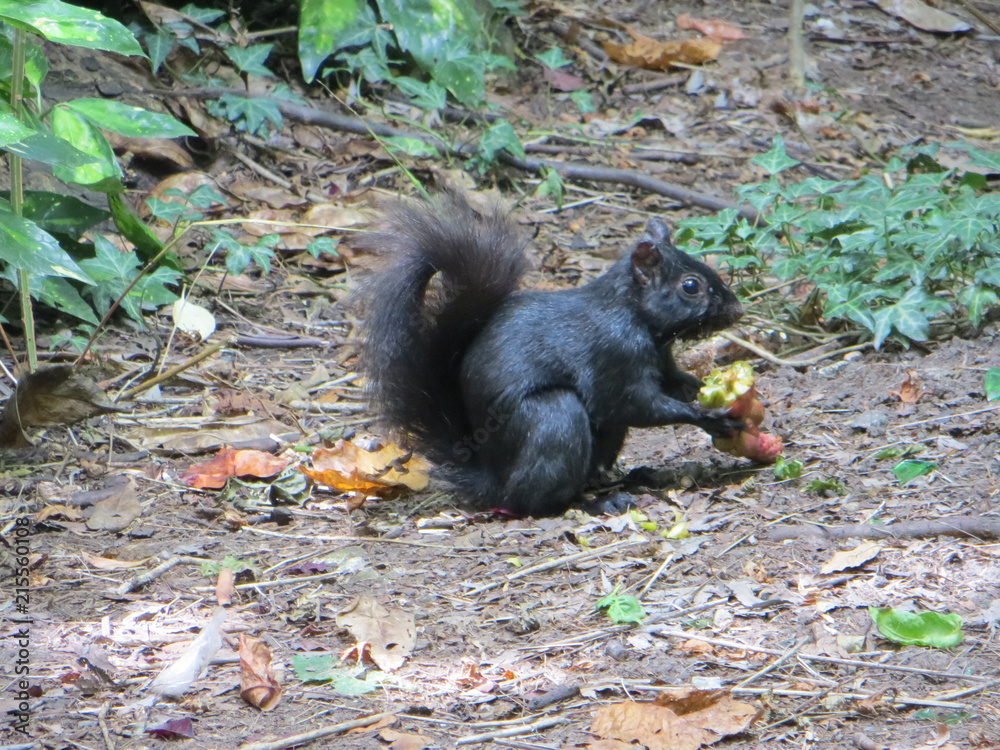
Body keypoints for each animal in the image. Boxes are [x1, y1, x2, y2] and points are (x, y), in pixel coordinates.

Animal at [359, 192, 746, 516]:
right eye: (691, 286)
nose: (736, 309)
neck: (633, 313)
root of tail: (490, 480)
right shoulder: (614, 353)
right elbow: (631, 404)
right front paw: (711, 416)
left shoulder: (662, 359)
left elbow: (674, 382)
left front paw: (706, 388)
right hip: (554, 418)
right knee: (535, 499)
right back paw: (597, 501)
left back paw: (630, 477)